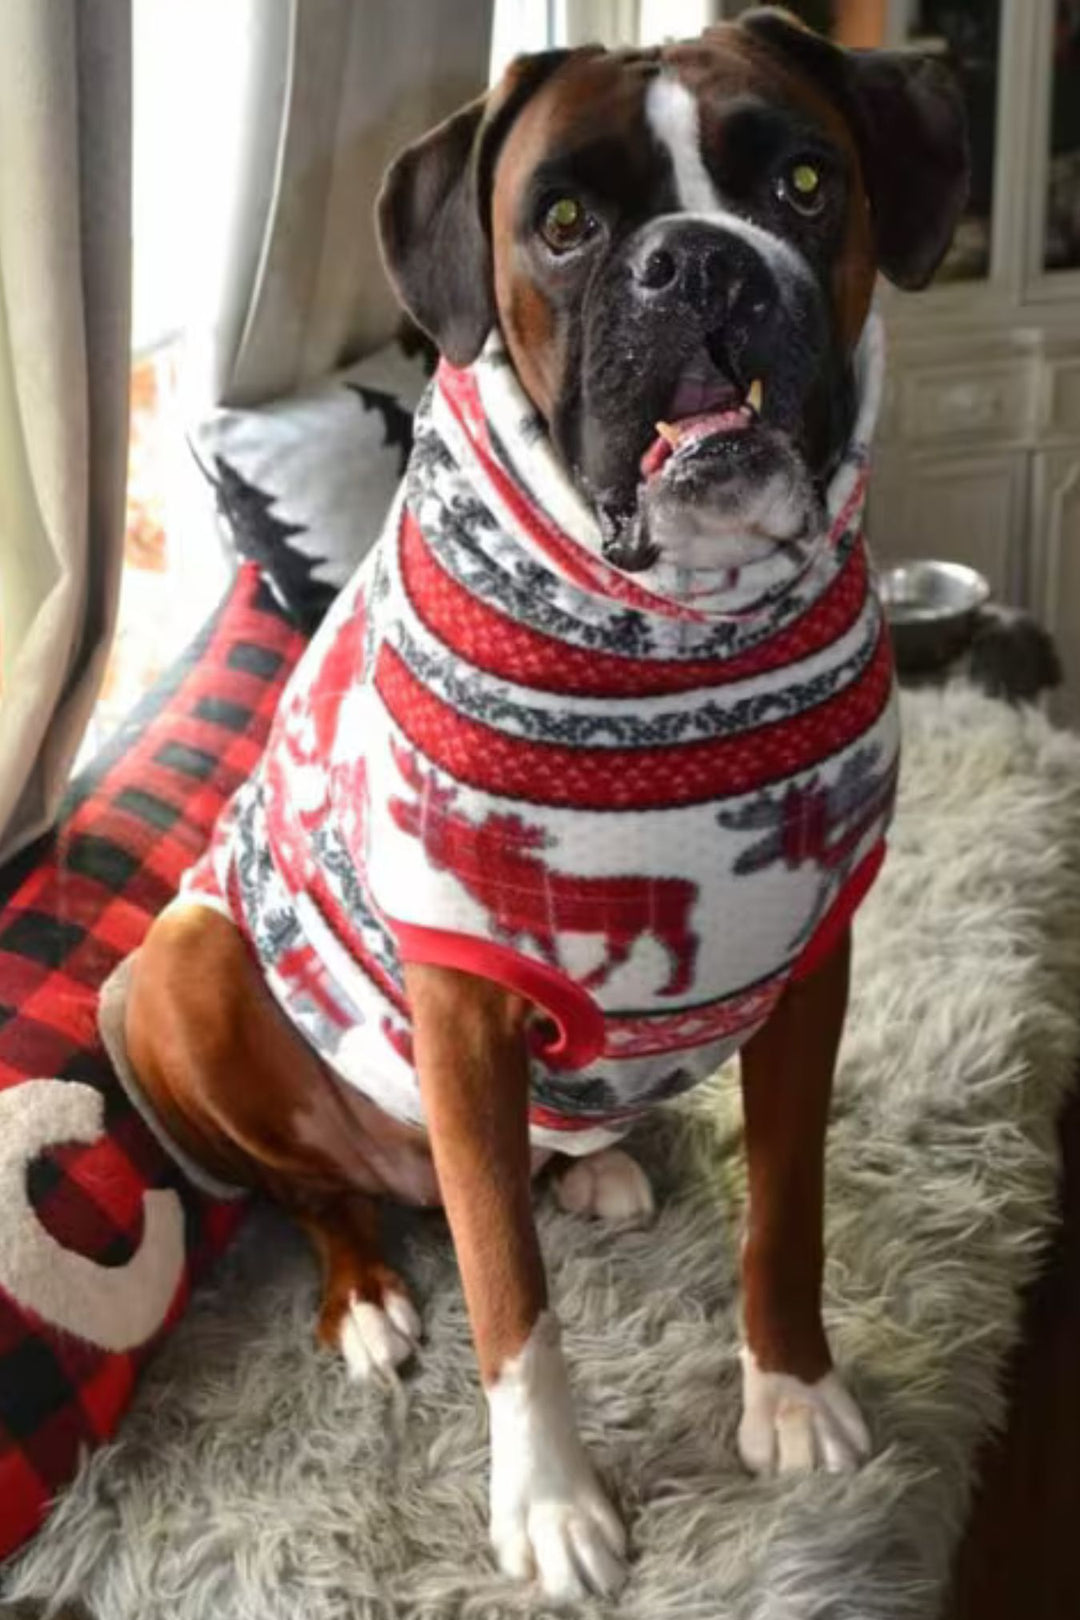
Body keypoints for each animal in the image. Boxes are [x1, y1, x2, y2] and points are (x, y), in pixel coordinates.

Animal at [118, 12, 965, 1600]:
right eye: (564, 225)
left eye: (806, 183)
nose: (697, 265)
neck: (683, 633)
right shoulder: (461, 1003)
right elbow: (512, 1297)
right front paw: (554, 1505)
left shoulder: (812, 963)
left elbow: (789, 1209)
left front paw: (791, 1389)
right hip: (182, 969)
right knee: (318, 1194)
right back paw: (370, 1293)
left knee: (526, 1166)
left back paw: (597, 1168)